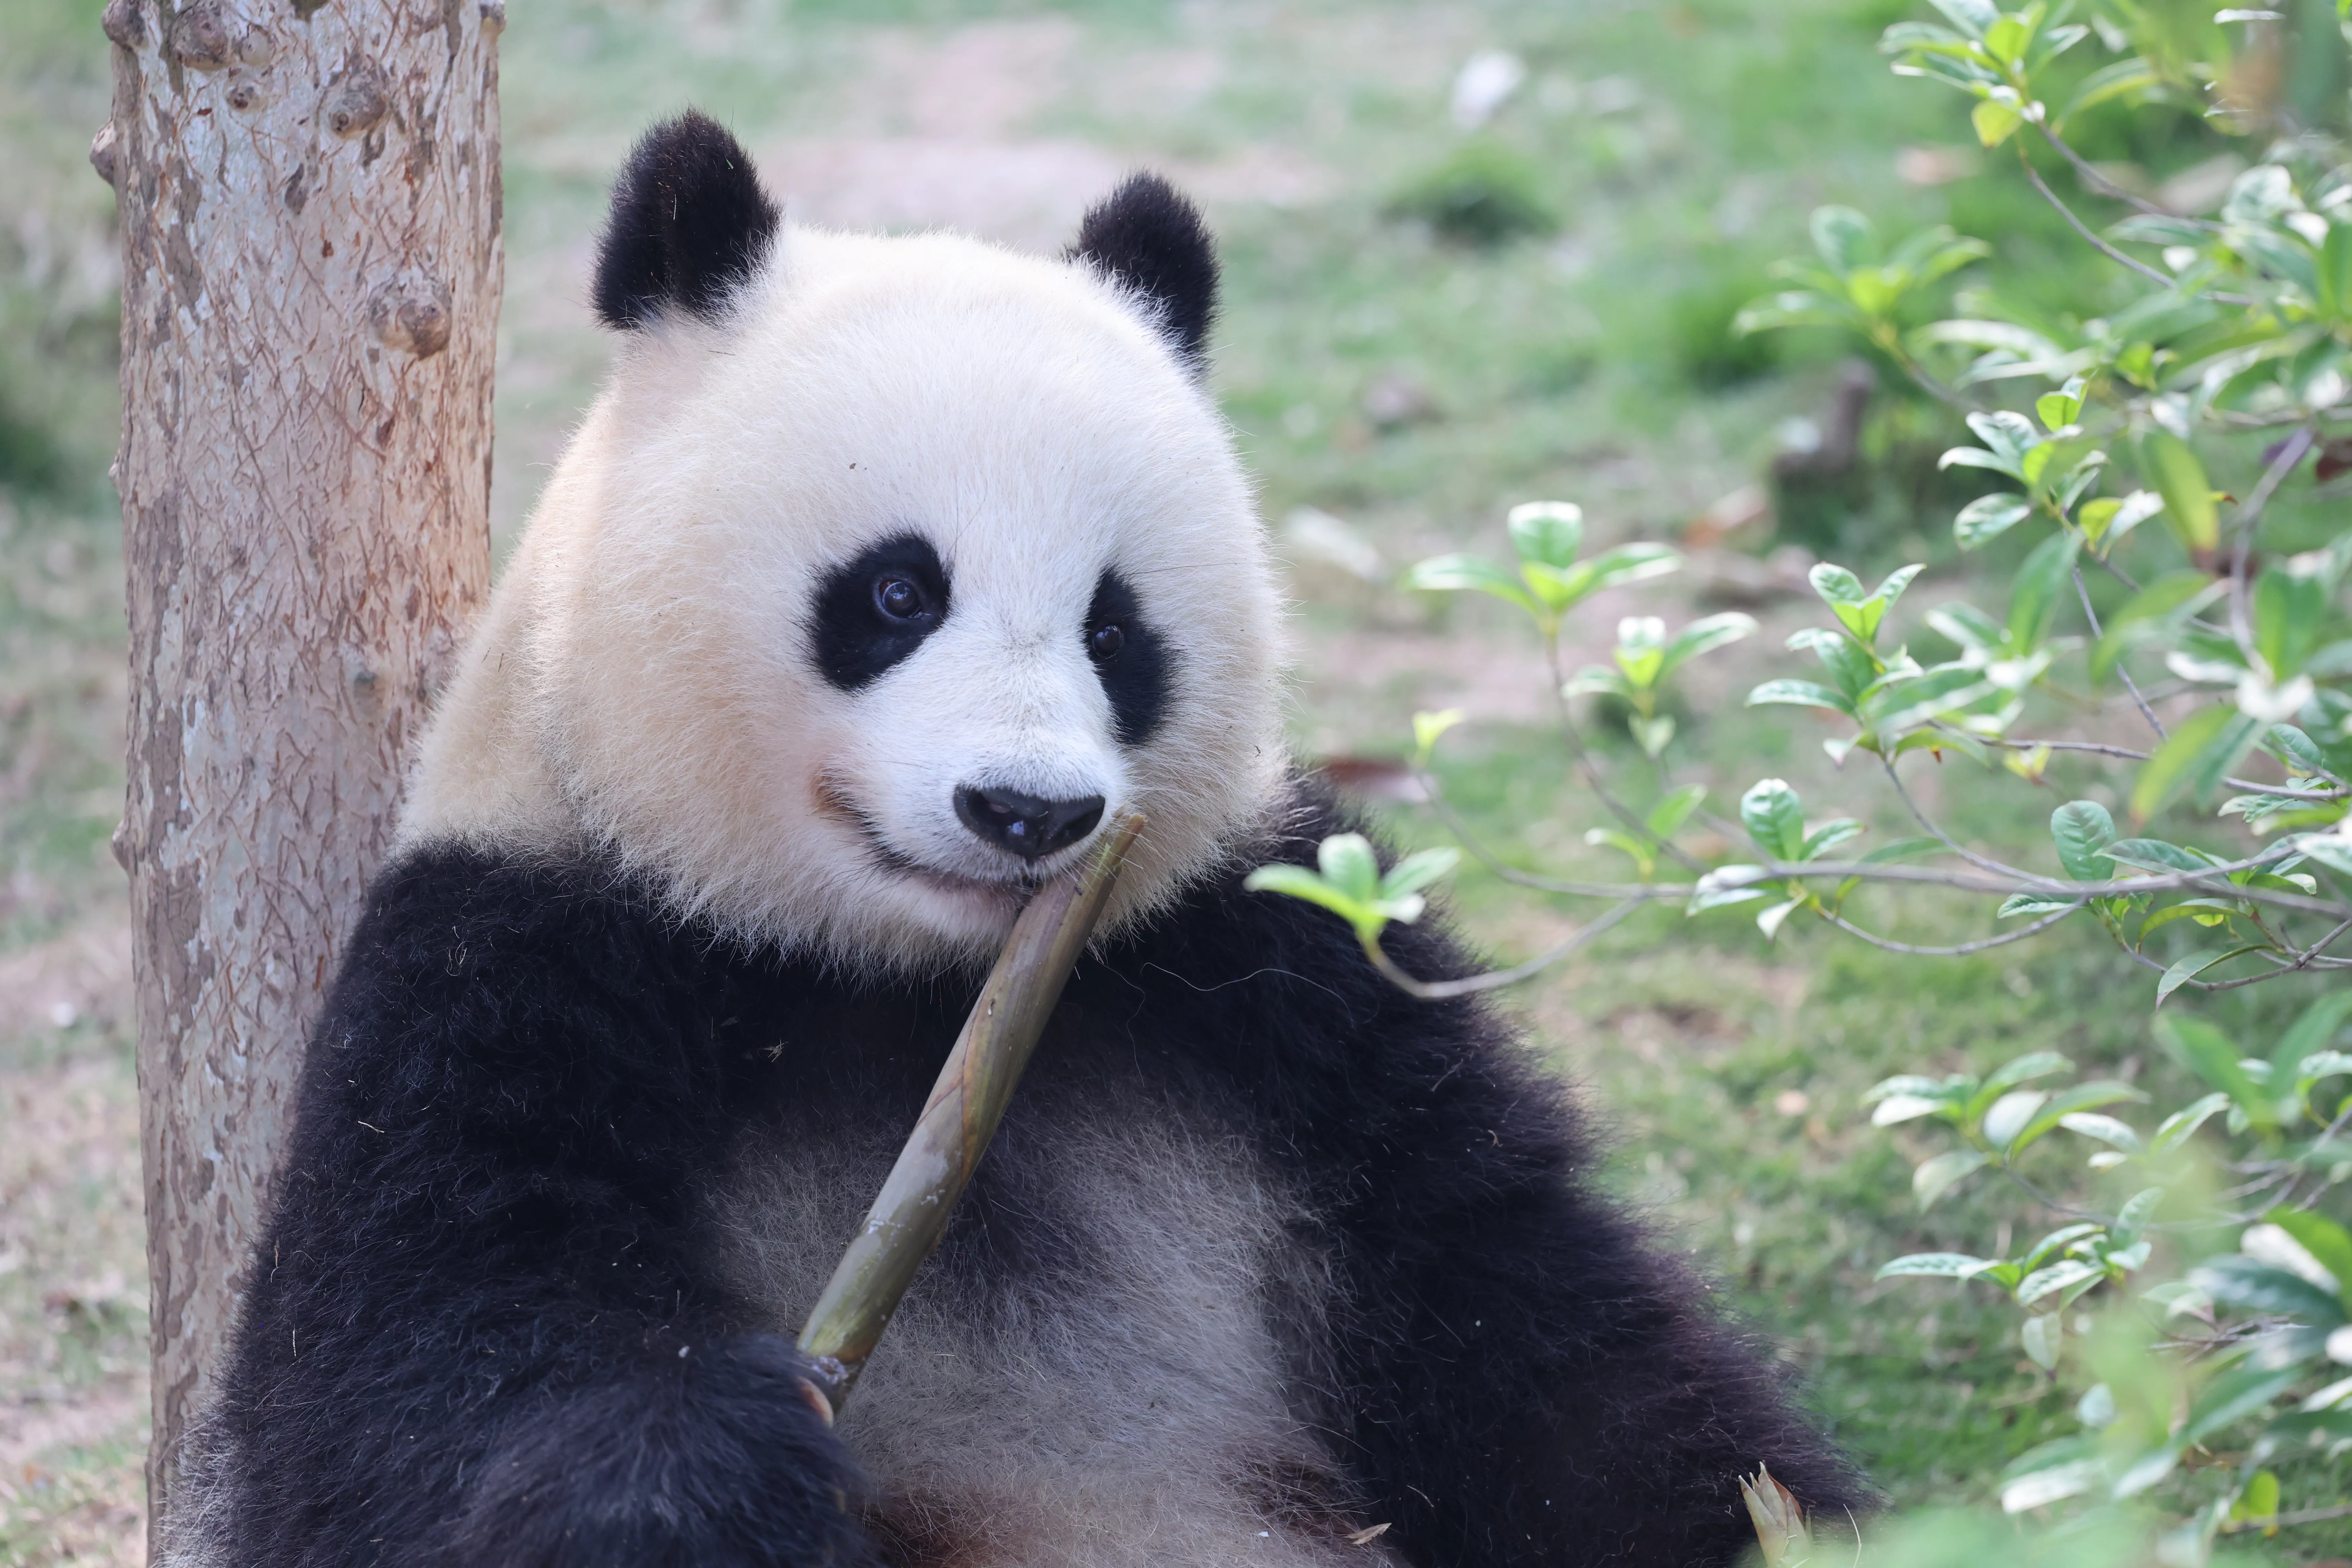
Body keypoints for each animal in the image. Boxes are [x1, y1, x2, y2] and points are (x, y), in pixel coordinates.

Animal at [172, 113, 1862, 1568]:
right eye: (896, 591)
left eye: (1118, 629)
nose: (1030, 812)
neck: (909, 986)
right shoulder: (515, 954)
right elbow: (400, 1372)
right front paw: (710, 1478)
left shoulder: (1276, 970)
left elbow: (1524, 1307)